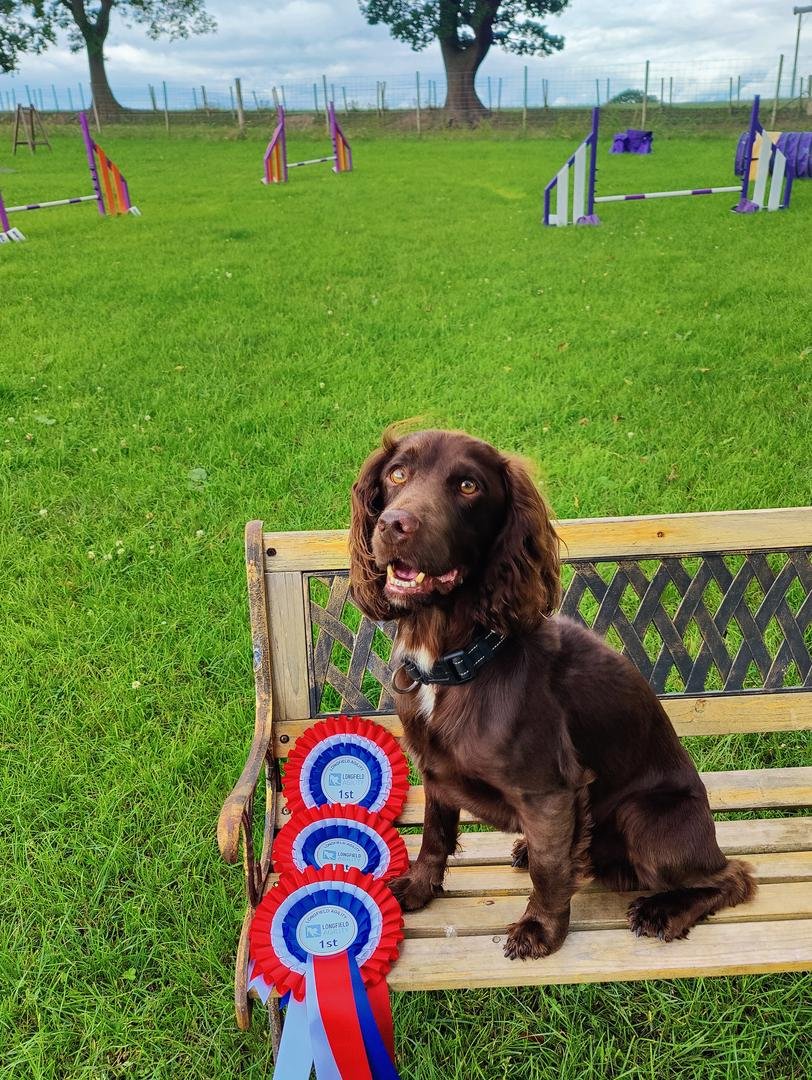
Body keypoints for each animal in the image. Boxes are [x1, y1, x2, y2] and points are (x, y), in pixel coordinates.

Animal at [348, 427, 755, 961]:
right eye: (397, 474)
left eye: (468, 486)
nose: (396, 525)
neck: (455, 661)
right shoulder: (435, 770)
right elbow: (435, 834)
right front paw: (419, 886)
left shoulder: (549, 790)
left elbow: (549, 868)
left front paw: (540, 930)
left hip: (646, 819)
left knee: (732, 877)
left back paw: (663, 911)